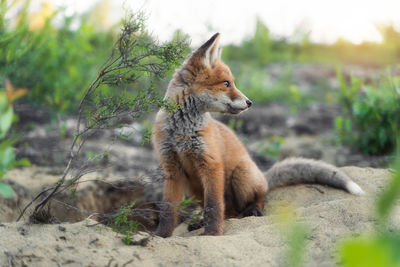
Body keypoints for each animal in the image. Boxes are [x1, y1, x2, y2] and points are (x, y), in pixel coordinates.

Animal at [152, 33, 364, 239]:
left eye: (231, 83)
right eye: (226, 83)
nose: (250, 102)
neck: (182, 131)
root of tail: (263, 177)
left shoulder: (211, 164)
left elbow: (214, 206)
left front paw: (212, 233)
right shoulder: (171, 167)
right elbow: (168, 210)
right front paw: (161, 236)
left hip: (241, 174)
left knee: (254, 201)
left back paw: (253, 210)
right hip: (194, 187)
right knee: (227, 212)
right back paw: (199, 221)